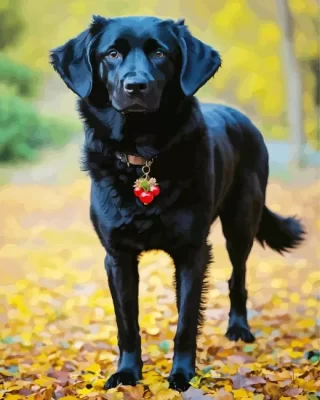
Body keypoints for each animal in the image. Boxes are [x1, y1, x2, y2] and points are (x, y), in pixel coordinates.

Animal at [50, 16, 304, 394]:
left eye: (160, 53)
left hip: (241, 223)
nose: (135, 86)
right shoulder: (118, 256)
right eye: (112, 53)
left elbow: (186, 322)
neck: (144, 156)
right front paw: (127, 374)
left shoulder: (192, 252)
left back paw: (239, 329)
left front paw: (183, 375)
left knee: (238, 277)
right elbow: (127, 324)